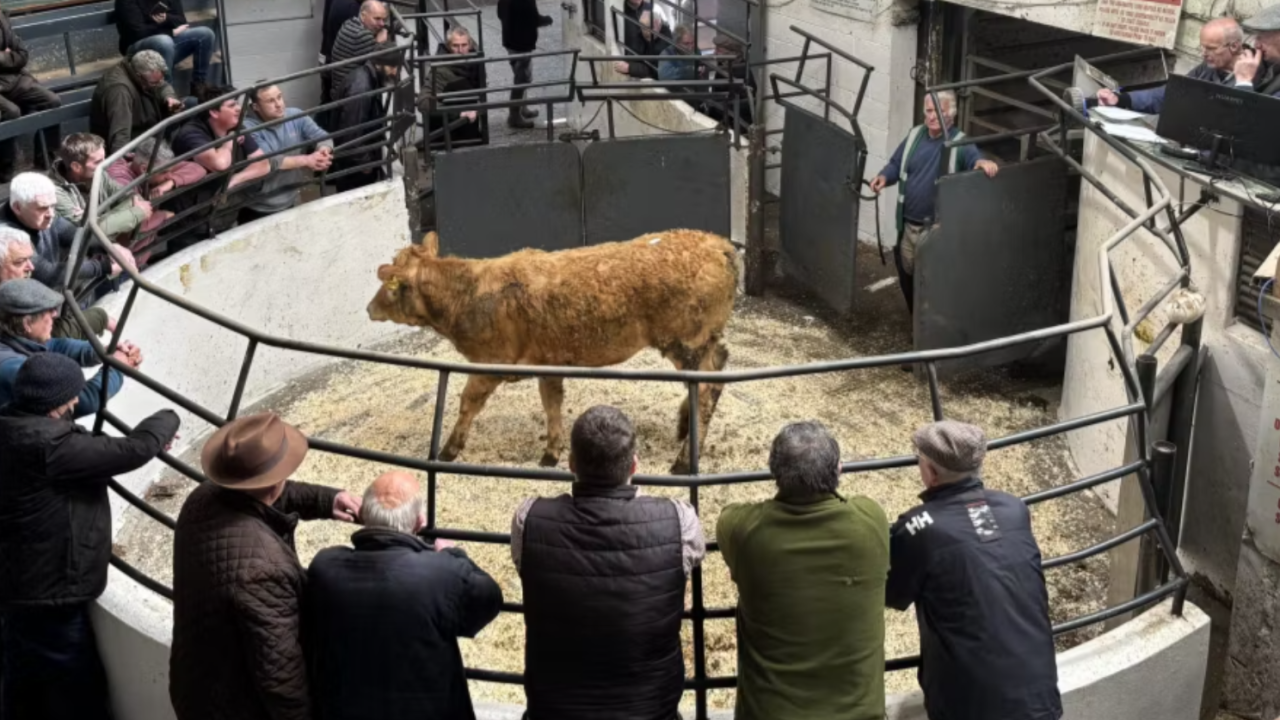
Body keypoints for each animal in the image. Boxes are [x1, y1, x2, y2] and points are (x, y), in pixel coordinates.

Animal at [367, 229, 738, 474]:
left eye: (390, 286)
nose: (369, 308)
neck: (468, 294)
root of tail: (719, 245)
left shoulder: (492, 362)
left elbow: (468, 403)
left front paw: (449, 449)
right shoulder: (547, 361)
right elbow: (552, 403)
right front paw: (551, 453)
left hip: (686, 341)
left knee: (706, 389)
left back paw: (683, 460)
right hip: (702, 342)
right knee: (717, 369)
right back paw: (685, 426)